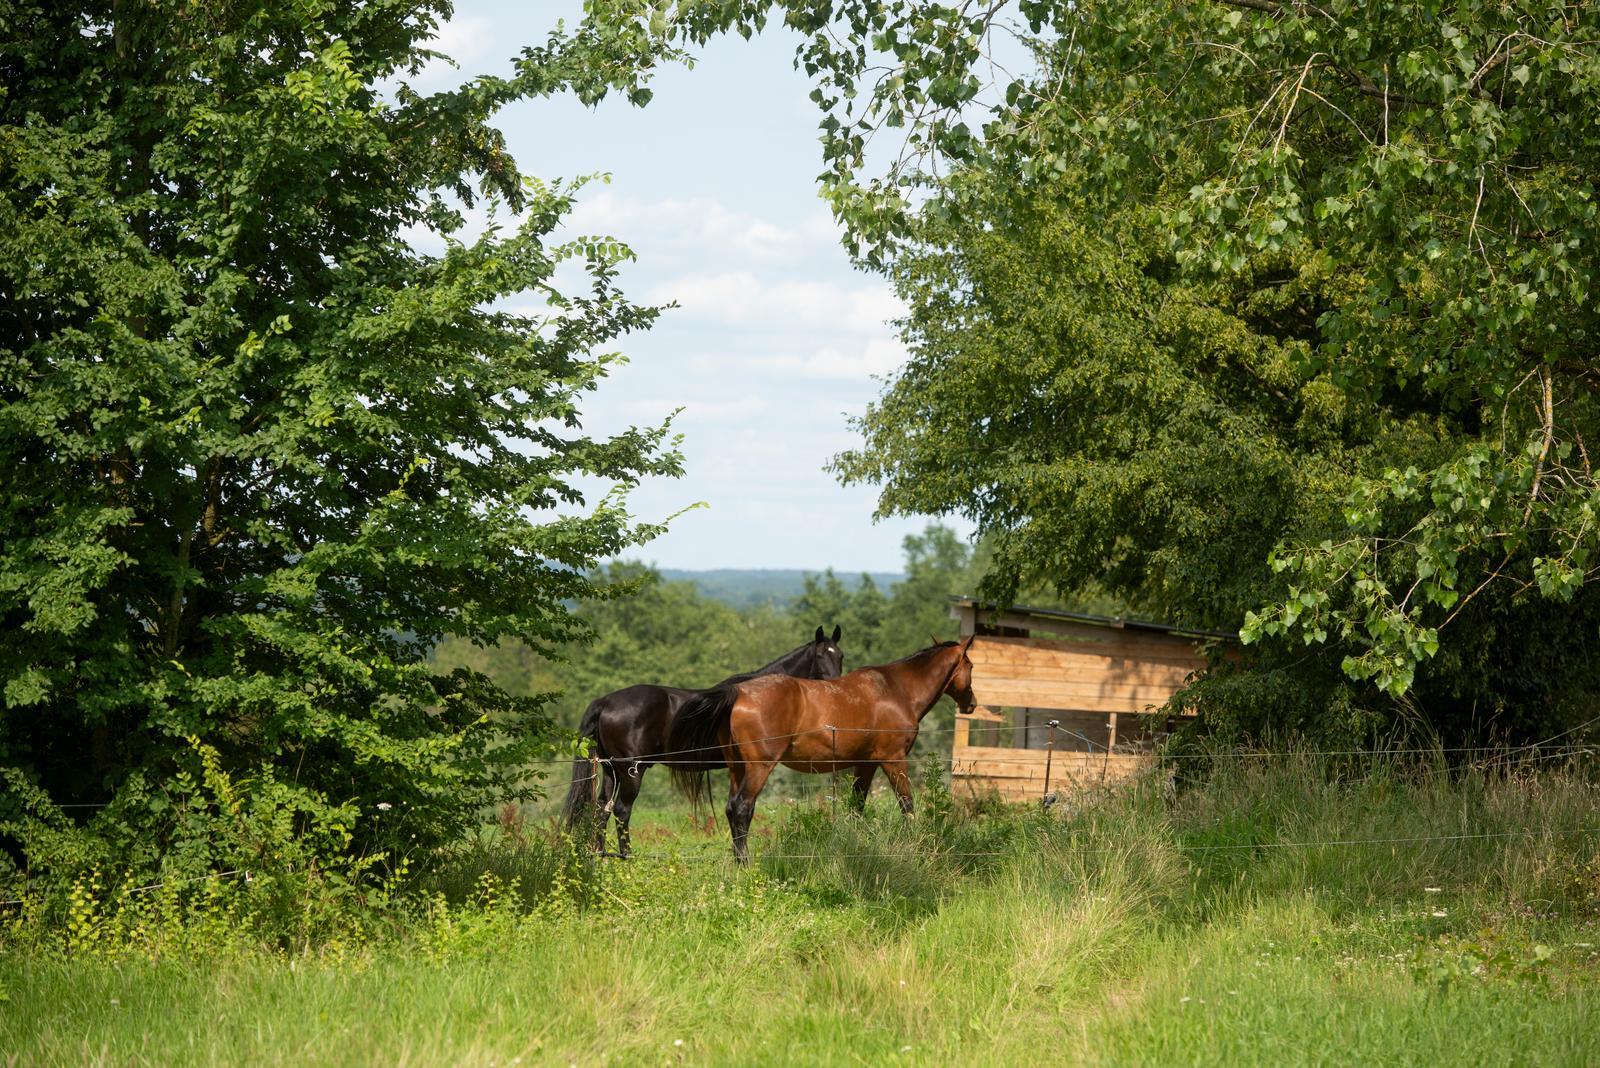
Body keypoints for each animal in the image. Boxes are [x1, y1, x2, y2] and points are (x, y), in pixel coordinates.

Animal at [560, 625, 845, 856]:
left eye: (840, 655)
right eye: (820, 655)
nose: (834, 687)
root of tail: (605, 702)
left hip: (611, 770)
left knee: (602, 809)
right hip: (632, 772)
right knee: (621, 810)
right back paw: (626, 857)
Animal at [667, 636, 976, 860]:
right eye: (971, 666)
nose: (971, 703)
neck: (895, 689)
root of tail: (739, 692)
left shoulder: (866, 764)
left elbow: (856, 807)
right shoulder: (893, 759)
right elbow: (907, 805)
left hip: (737, 768)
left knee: (732, 809)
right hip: (758, 768)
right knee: (742, 808)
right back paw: (745, 862)